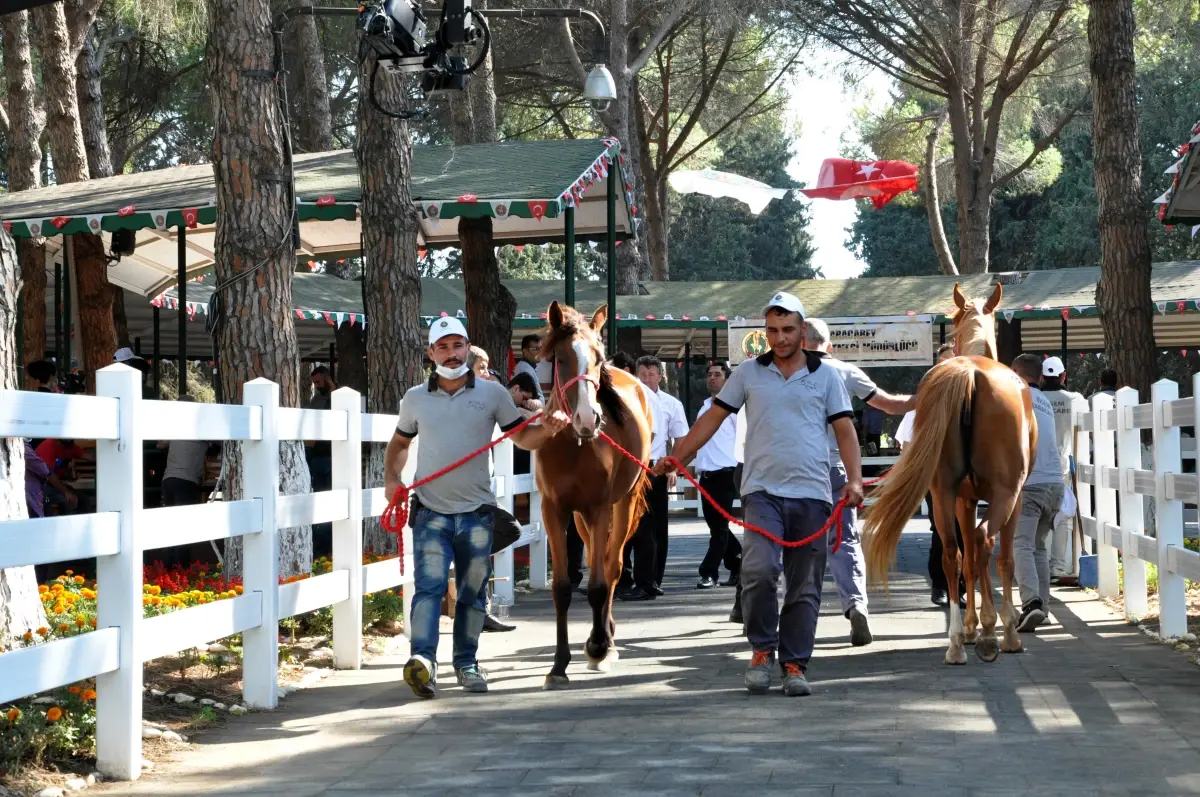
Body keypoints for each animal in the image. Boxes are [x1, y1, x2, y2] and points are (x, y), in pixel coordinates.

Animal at [535, 302, 652, 686]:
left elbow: (601, 583)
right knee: (595, 559)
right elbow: (562, 587)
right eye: (560, 358)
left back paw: (606, 640)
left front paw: (599, 646)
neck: (574, 445)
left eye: (599, 358)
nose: (590, 418)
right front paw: (558, 665)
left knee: (611, 567)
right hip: (580, 517)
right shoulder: (554, 510)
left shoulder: (600, 507)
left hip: (622, 503)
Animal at [864, 283, 1041, 662]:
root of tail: (970, 373)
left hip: (944, 492)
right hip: (1004, 495)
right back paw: (993, 635)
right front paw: (998, 630)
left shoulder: (964, 499)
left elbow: (968, 560)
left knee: (952, 553)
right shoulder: (1013, 499)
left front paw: (973, 628)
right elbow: (1002, 559)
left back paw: (958, 641)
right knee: (985, 541)